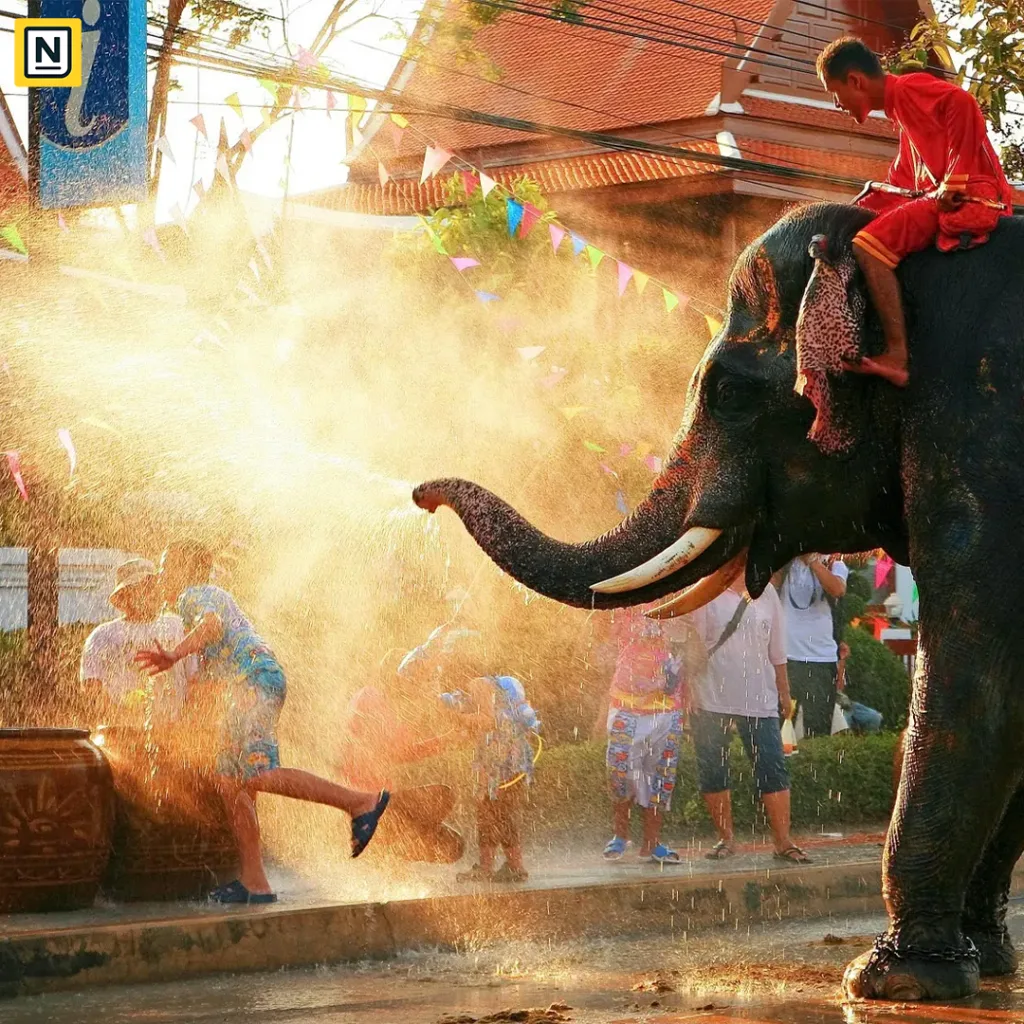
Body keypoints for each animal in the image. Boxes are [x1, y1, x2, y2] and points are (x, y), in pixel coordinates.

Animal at [413, 200, 1024, 1001]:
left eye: (728, 395)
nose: (421, 494)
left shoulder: (983, 443)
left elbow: (975, 677)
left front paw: (891, 981)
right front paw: (984, 960)